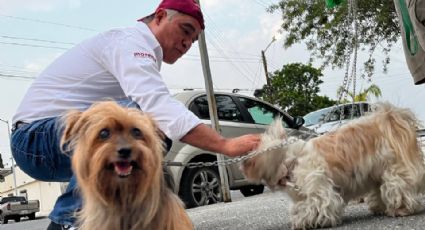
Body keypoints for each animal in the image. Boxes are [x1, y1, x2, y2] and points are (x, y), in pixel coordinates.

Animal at [242, 103, 424, 230]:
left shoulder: (318, 191)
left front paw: (305, 221)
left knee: (399, 187)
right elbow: (301, 207)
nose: (243, 161)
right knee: (380, 189)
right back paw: (380, 207)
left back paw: (401, 209)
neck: (291, 160)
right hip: (376, 174)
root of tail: (389, 118)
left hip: (393, 170)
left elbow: (314, 208)